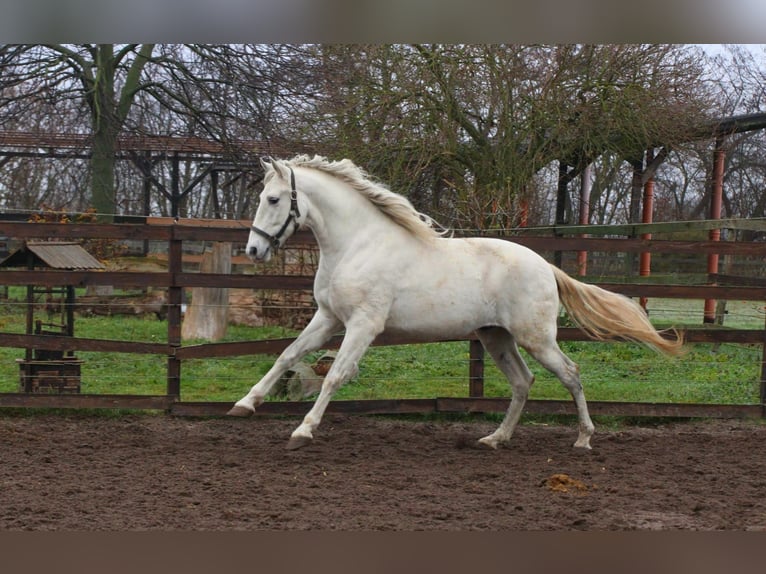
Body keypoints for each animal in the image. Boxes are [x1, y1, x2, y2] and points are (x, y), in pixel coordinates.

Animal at [227, 154, 684, 450]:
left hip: (535, 337)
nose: (253, 250)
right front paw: (244, 405)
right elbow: (287, 355)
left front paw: (302, 431)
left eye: (272, 199)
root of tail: (545, 267)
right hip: (496, 337)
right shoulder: (328, 318)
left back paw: (584, 440)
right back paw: (495, 439)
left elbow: (336, 376)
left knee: (570, 374)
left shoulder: (363, 325)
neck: (357, 245)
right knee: (523, 382)